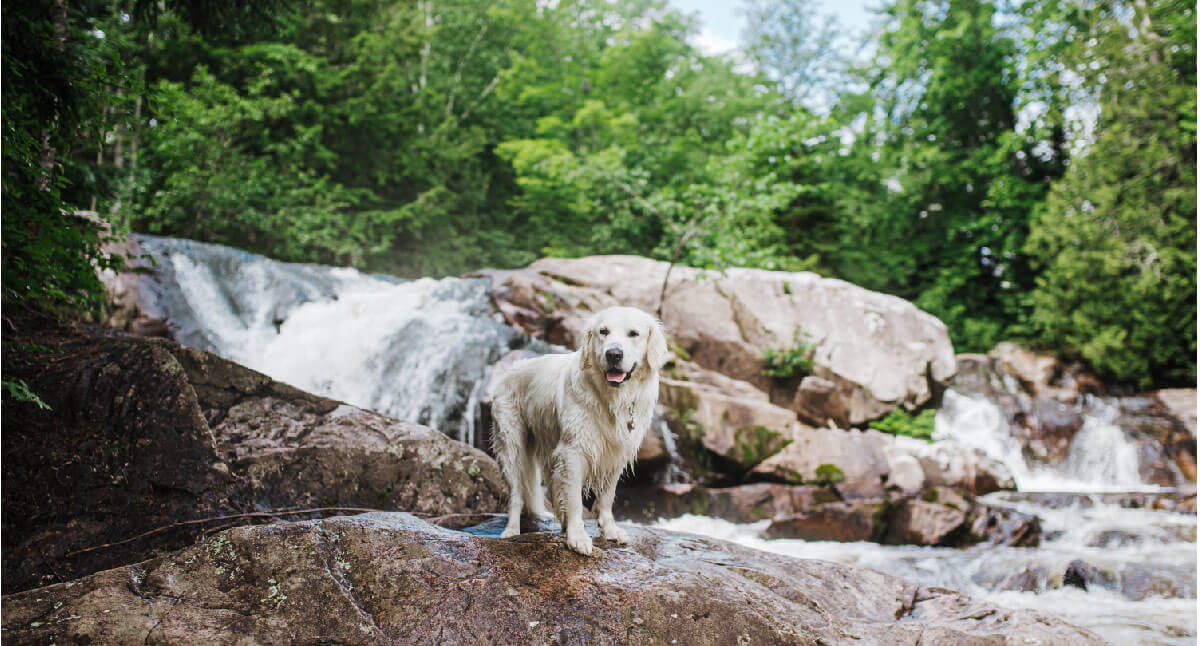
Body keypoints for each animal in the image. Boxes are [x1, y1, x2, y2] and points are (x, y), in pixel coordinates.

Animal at [492, 306, 672, 552]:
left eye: (634, 334)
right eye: (603, 331)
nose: (613, 354)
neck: (611, 398)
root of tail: (510, 369)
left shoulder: (615, 452)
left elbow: (606, 497)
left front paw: (609, 530)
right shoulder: (573, 451)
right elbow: (575, 500)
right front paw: (577, 536)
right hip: (512, 446)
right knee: (516, 494)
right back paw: (511, 531)